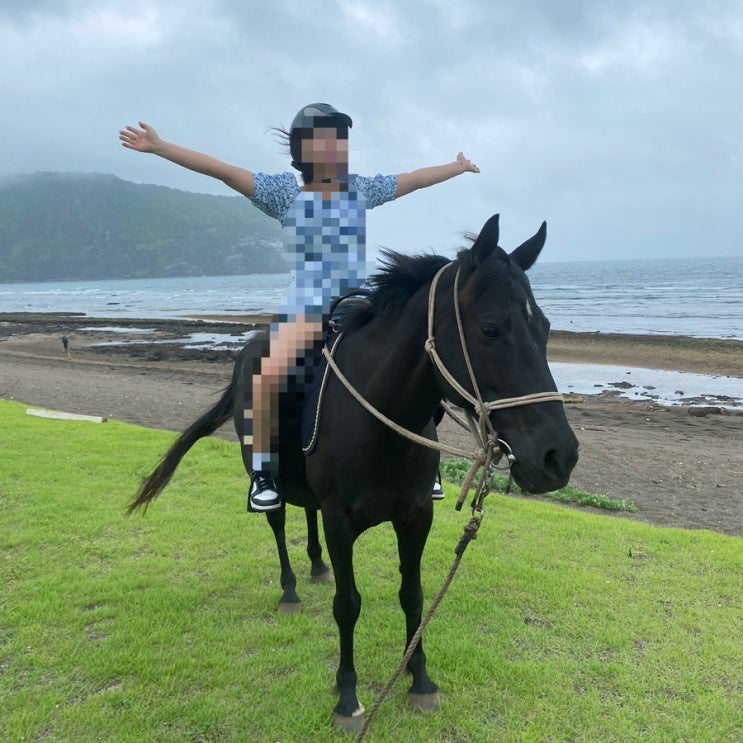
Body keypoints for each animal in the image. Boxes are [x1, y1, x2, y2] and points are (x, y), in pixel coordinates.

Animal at [129, 214, 580, 732]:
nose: (559, 457)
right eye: (490, 329)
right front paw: (347, 696)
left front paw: (419, 680)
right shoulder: (341, 521)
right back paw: (290, 587)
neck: (379, 423)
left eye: (545, 327)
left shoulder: (415, 517)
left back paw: (316, 565)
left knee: (306, 516)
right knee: (278, 521)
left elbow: (413, 596)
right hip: (267, 475)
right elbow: (347, 606)